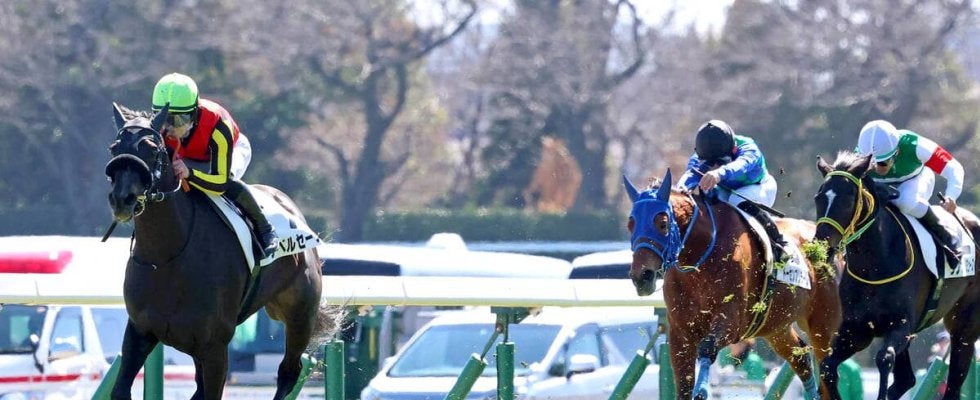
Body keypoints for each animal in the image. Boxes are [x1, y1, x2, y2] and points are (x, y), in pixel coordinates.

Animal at [104, 103, 342, 399]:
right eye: (114, 148)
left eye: (150, 147)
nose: (122, 199)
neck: (167, 258)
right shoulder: (140, 331)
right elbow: (120, 389)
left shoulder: (215, 346)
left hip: (300, 315)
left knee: (289, 371)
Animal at [625, 169, 841, 399]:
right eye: (630, 224)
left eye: (663, 223)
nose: (642, 276)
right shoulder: (679, 332)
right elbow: (682, 384)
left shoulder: (732, 321)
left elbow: (707, 348)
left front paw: (702, 390)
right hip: (776, 327)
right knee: (800, 358)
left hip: (822, 324)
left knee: (826, 367)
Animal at [814, 152, 979, 400]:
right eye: (818, 198)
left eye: (848, 199)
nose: (822, 246)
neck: (875, 266)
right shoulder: (856, 329)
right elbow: (827, 366)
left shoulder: (900, 326)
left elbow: (884, 359)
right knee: (906, 379)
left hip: (964, 326)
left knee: (953, 382)